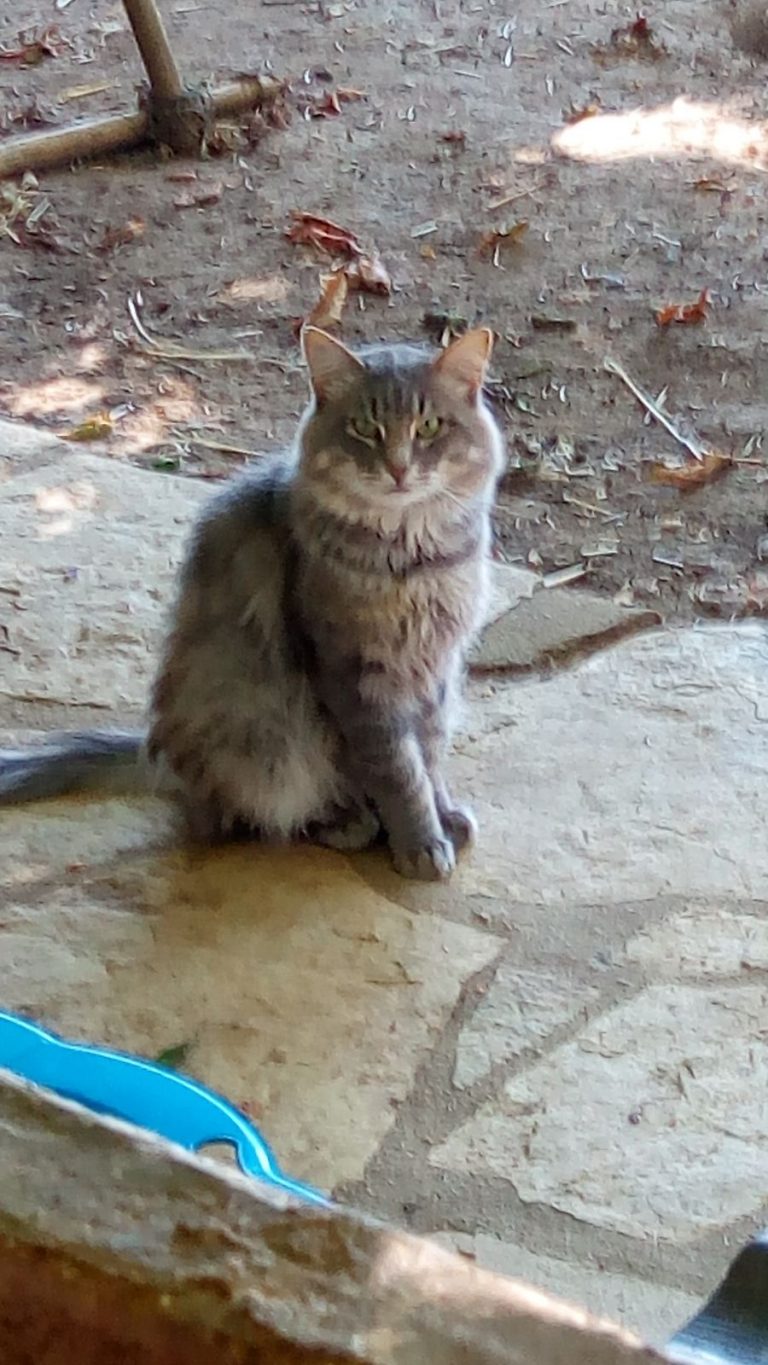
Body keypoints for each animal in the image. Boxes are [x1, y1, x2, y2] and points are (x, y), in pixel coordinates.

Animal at [0, 326, 505, 880]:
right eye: (364, 428)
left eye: (430, 426)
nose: (398, 468)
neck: (417, 559)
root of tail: (158, 756)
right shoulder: (354, 675)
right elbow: (398, 771)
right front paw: (419, 842)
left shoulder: (437, 667)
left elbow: (430, 755)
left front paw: (442, 815)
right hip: (257, 731)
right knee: (243, 815)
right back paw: (341, 823)